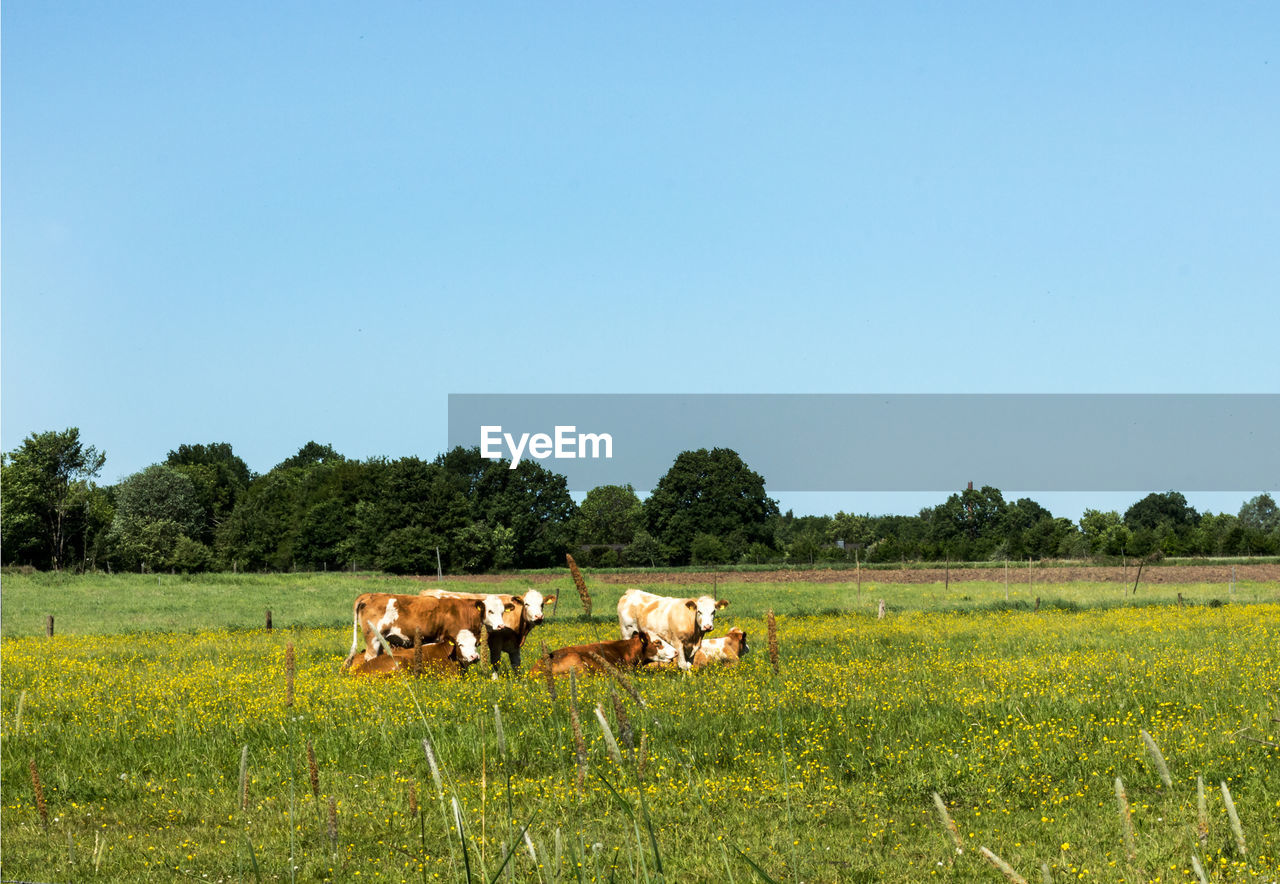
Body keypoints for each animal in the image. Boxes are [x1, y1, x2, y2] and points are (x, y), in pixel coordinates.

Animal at [422, 588, 558, 675]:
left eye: (542, 604)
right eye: (527, 604)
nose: (538, 617)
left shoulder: (515, 647)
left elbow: (516, 665)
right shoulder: (496, 644)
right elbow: (495, 664)